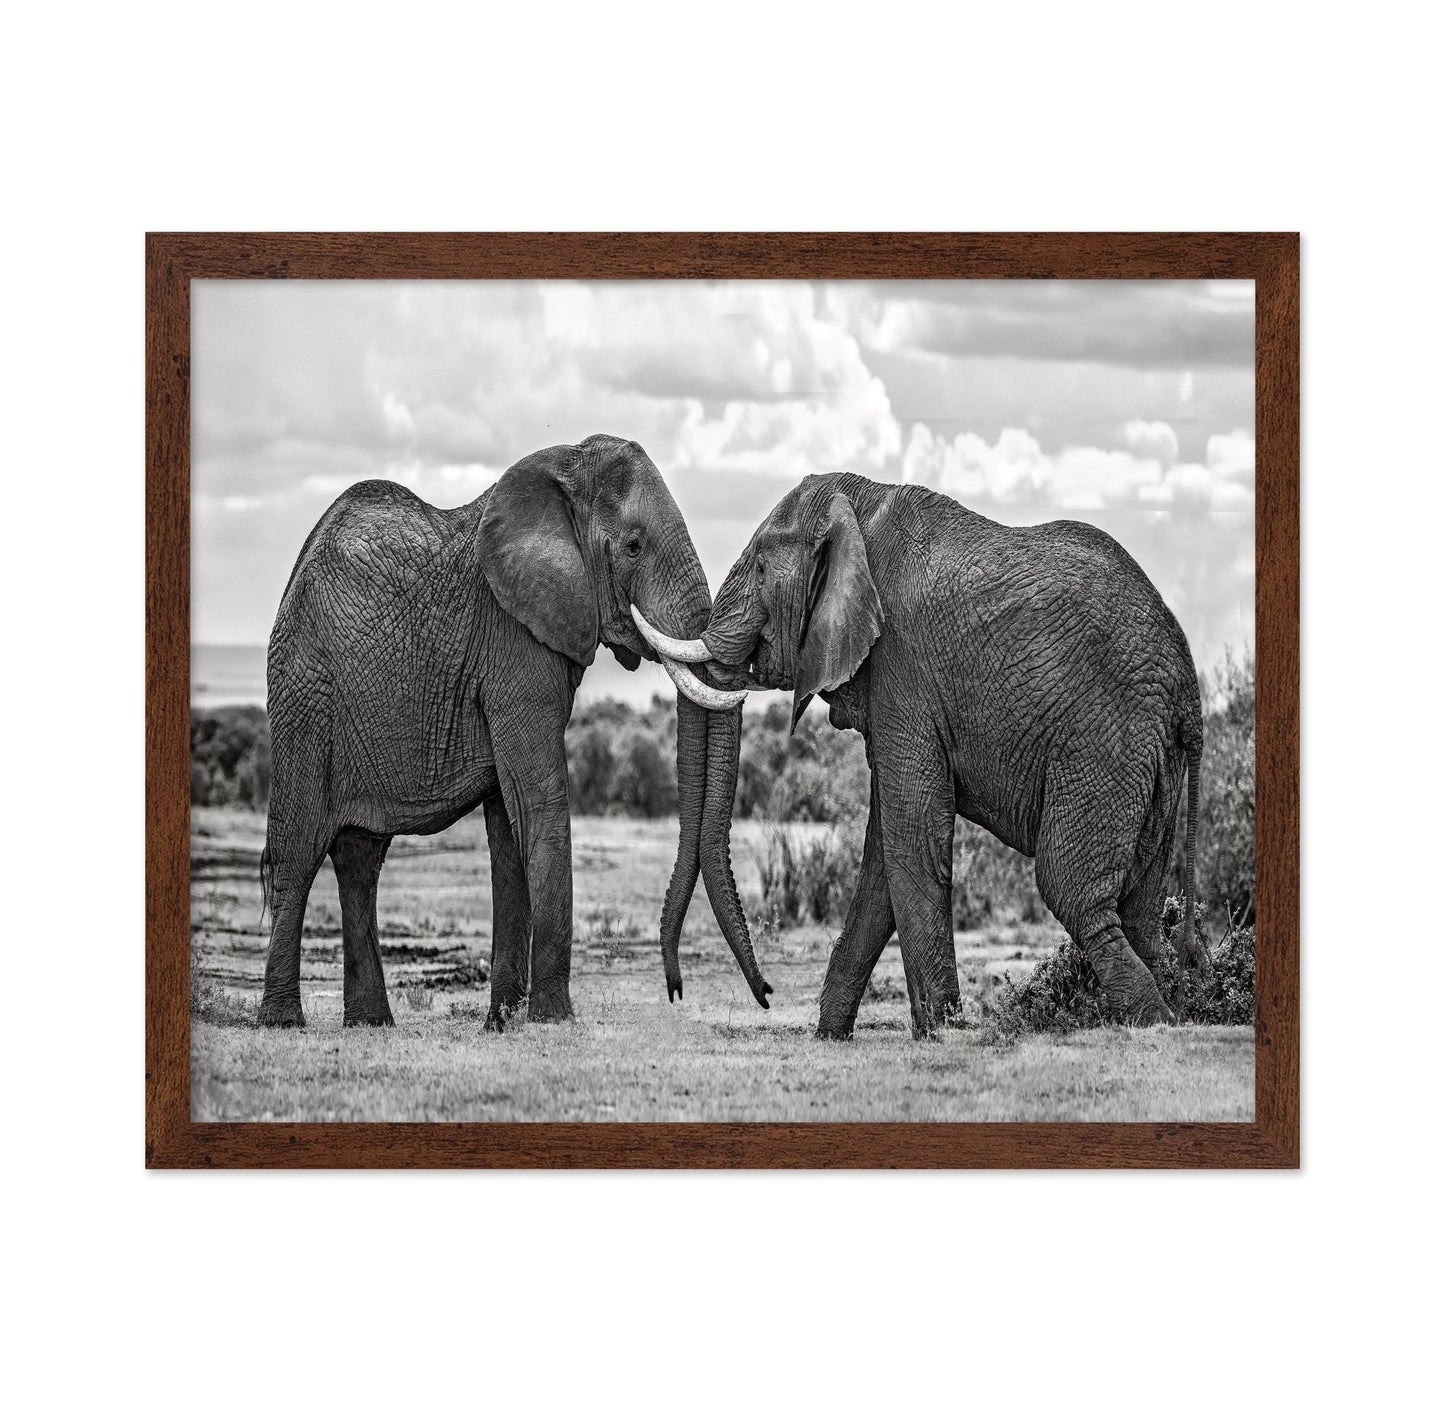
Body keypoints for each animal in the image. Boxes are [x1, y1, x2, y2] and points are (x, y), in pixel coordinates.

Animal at [256, 434, 771, 1030]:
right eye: (634, 545)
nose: (676, 990)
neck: (564, 472)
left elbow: (510, 823)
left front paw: (502, 1022)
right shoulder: (513, 642)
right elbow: (537, 799)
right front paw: (553, 1019)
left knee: (360, 860)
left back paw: (371, 1024)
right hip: (304, 695)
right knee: (299, 852)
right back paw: (282, 1021)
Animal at [639, 472, 1206, 1039]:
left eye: (759, 566)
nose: (767, 994)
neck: (857, 509)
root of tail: (1188, 684)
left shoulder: (902, 666)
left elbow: (911, 837)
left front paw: (941, 1033)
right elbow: (883, 857)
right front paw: (832, 1036)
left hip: (1105, 741)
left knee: (1073, 891)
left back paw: (1155, 1022)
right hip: (1153, 759)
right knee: (1140, 909)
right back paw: (1179, 1007)